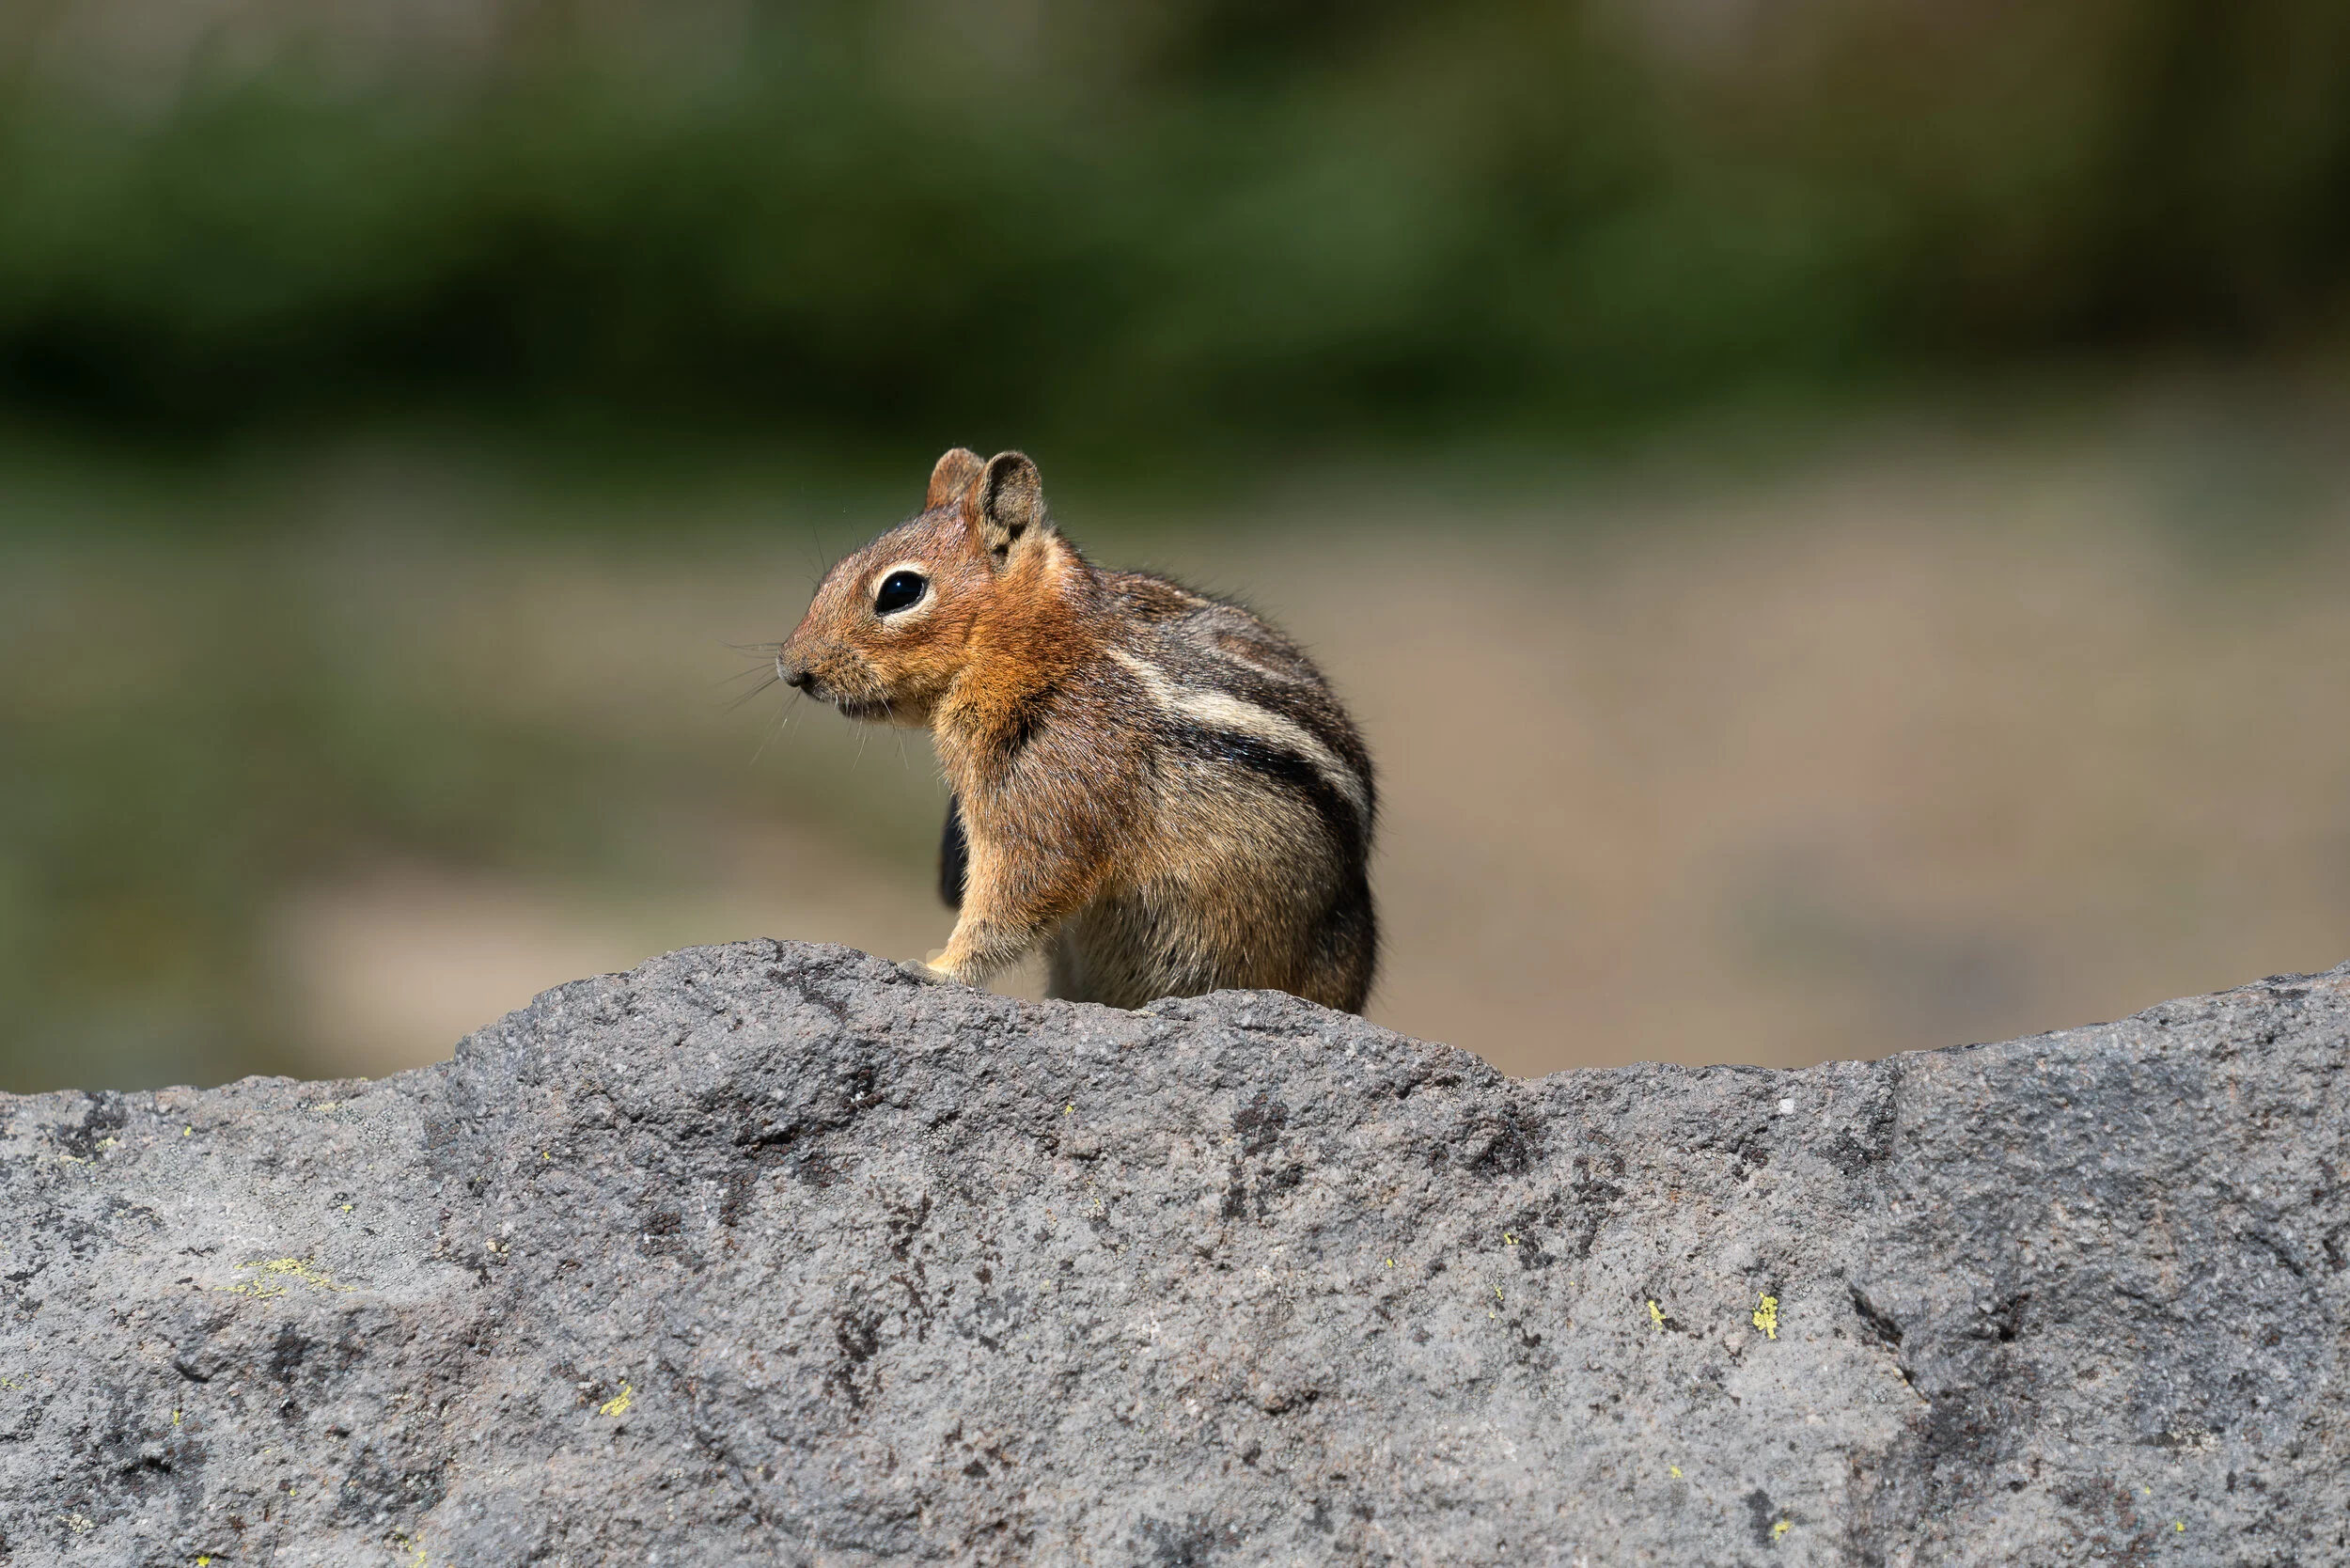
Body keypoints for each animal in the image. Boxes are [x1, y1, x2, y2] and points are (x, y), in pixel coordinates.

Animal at [776, 448, 1377, 1013]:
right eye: (833, 574)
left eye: (900, 589)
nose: (791, 669)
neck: (1041, 642)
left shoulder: (1053, 784)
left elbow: (1023, 889)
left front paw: (937, 969)